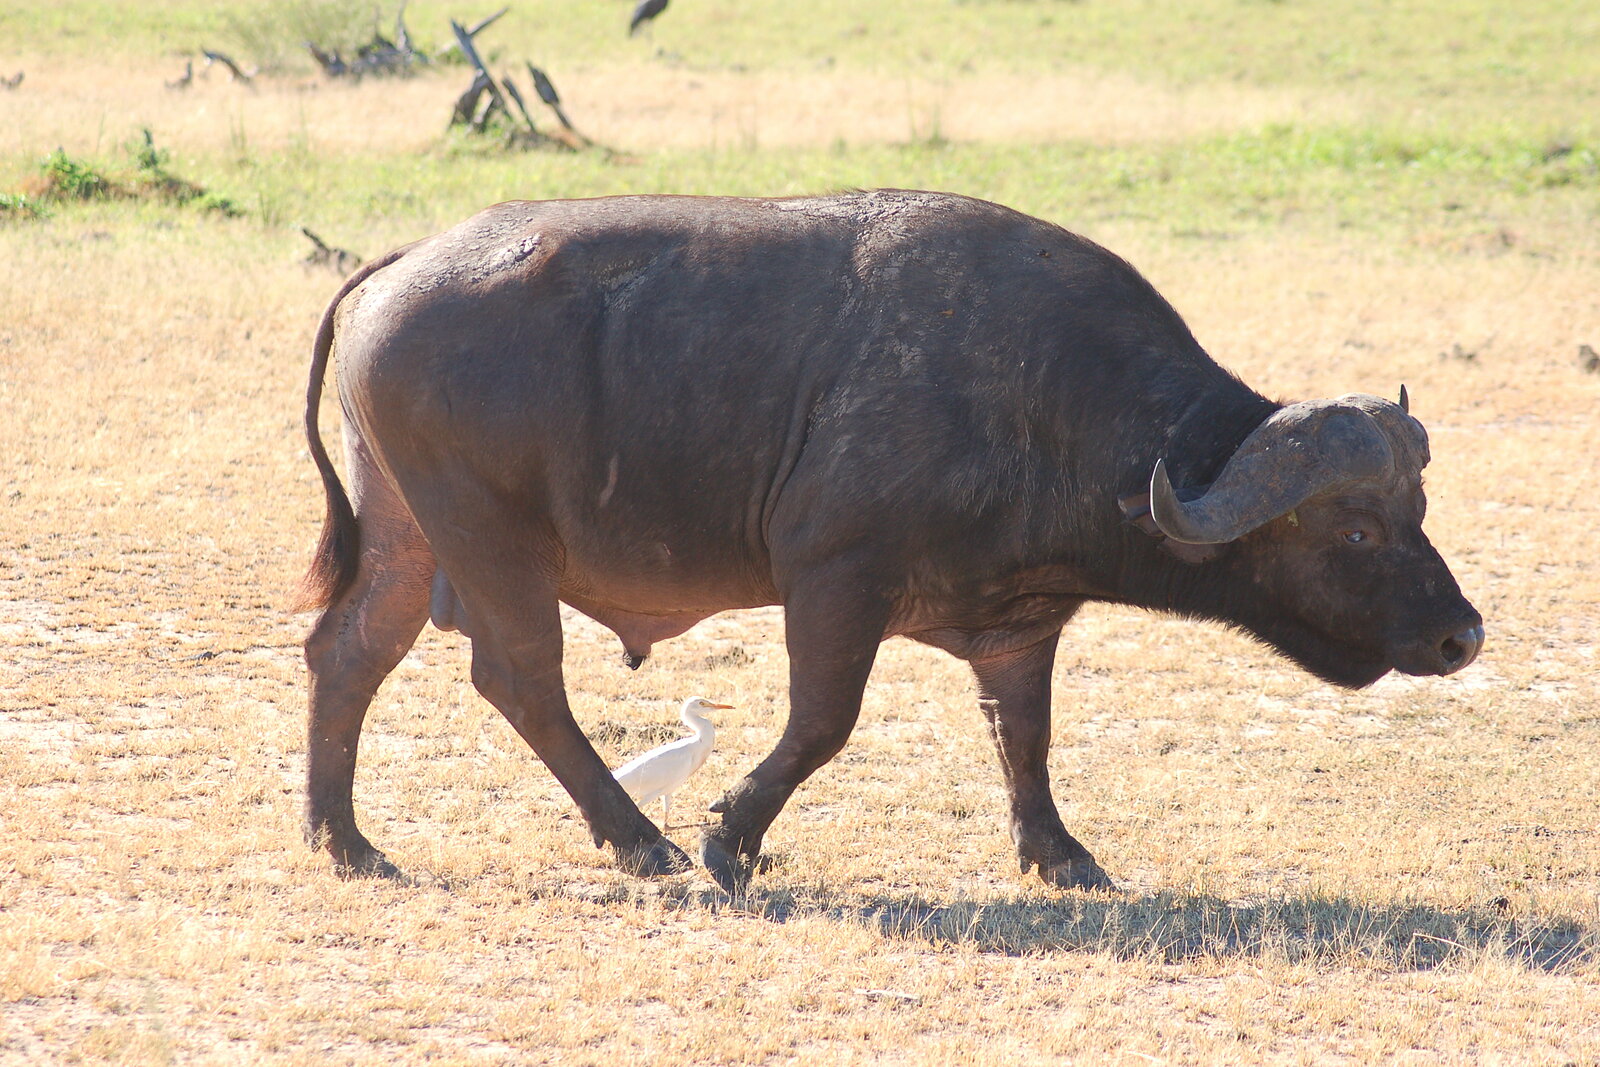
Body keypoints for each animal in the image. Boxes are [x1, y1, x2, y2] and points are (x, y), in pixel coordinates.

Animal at [296, 190, 1483, 890]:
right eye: (1356, 525)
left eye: (1419, 513)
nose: (1460, 636)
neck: (1045, 400)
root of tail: (401, 263)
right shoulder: (834, 580)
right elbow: (823, 722)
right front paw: (731, 837)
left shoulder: (1019, 627)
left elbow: (1026, 739)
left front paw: (1060, 855)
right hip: (489, 538)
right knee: (521, 677)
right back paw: (641, 837)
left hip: (407, 535)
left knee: (349, 652)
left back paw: (344, 839)